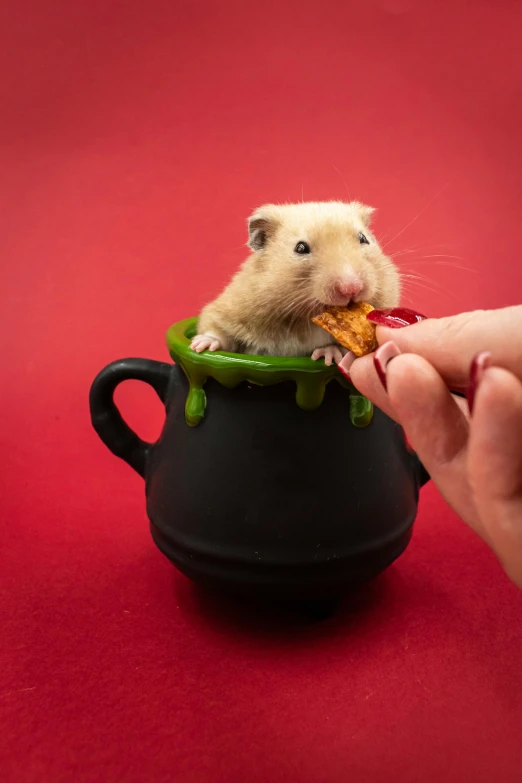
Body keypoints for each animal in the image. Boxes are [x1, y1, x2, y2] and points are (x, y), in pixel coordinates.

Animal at [191, 199, 398, 364]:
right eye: (300, 248)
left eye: (363, 239)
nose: (351, 289)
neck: (304, 318)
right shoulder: (230, 309)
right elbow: (218, 331)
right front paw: (200, 346)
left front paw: (329, 354)